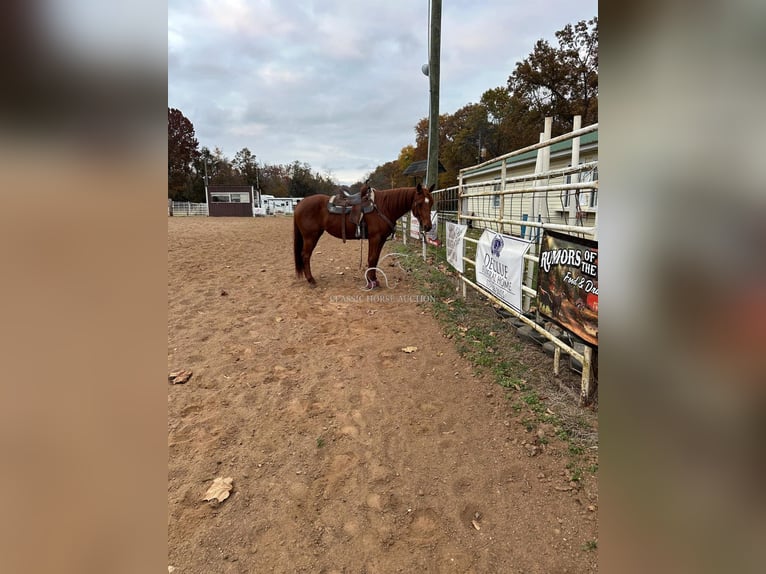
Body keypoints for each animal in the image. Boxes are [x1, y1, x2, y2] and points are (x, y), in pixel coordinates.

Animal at [294, 184, 436, 288]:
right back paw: (311, 280)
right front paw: (371, 282)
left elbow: (375, 259)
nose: (428, 227)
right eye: (419, 203)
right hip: (310, 237)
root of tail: (300, 204)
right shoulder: (375, 238)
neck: (383, 207)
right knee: (305, 255)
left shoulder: (381, 239)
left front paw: (373, 279)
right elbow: (372, 258)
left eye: (431, 203)